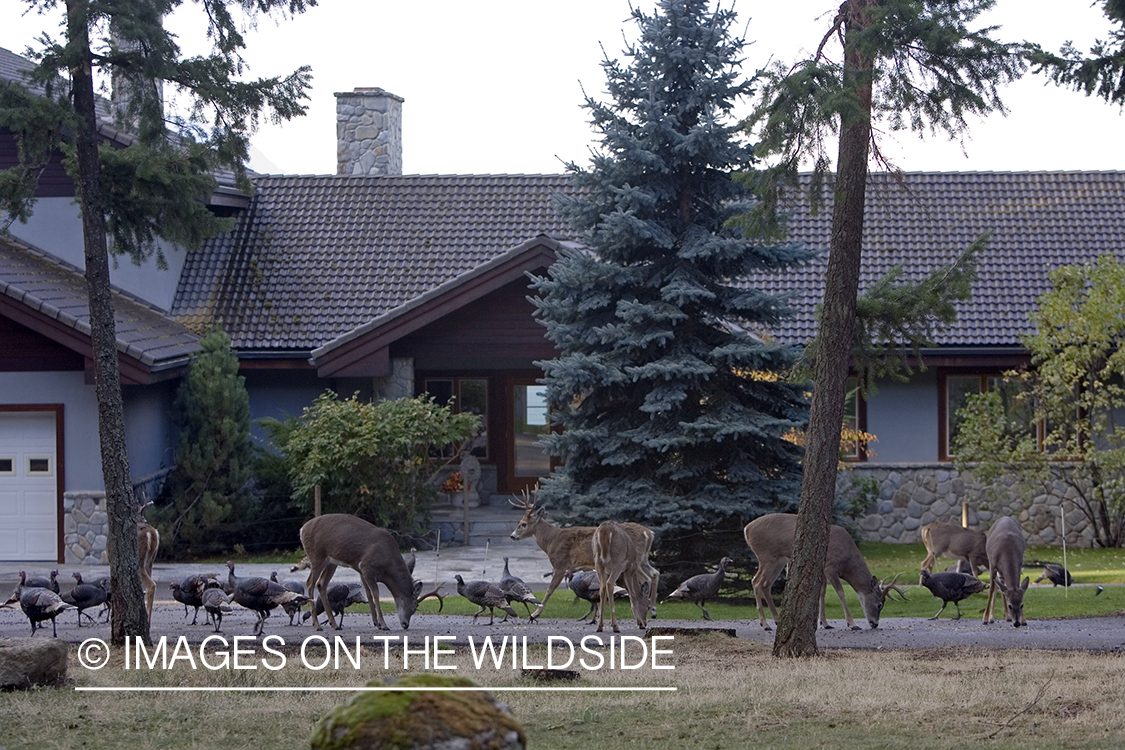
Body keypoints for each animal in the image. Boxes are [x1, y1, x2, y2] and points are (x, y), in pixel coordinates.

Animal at [299, 512, 438, 629]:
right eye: (415, 607)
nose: (405, 625)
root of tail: (302, 529)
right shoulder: (367, 566)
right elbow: (375, 593)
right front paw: (383, 625)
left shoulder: (361, 570)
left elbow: (369, 593)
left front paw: (376, 623)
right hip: (316, 556)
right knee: (309, 583)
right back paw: (317, 625)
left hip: (331, 562)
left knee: (321, 584)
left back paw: (334, 624)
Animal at [508, 492, 657, 620]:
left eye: (523, 524)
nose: (512, 536)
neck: (551, 540)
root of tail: (649, 533)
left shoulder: (560, 564)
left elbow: (550, 589)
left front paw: (535, 613)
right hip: (643, 558)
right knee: (654, 573)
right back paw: (652, 609)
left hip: (632, 559)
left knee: (644, 578)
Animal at [742, 512, 909, 629]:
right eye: (880, 604)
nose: (875, 624)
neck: (847, 558)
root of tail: (746, 529)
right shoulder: (830, 566)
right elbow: (840, 592)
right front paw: (852, 623)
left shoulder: (822, 569)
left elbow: (821, 592)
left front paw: (824, 623)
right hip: (767, 556)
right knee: (756, 582)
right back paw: (765, 624)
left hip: (778, 561)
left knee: (765, 585)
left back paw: (776, 621)